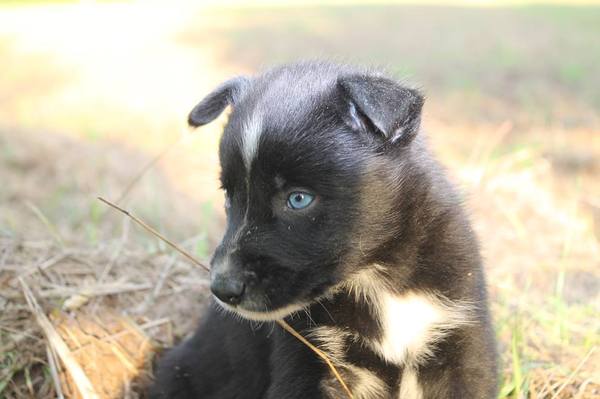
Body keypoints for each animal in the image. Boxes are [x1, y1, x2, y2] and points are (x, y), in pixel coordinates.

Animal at [150, 62, 496, 399]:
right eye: (228, 196)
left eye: (298, 198)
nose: (223, 289)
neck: (379, 279)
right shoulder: (311, 363)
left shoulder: (461, 346)